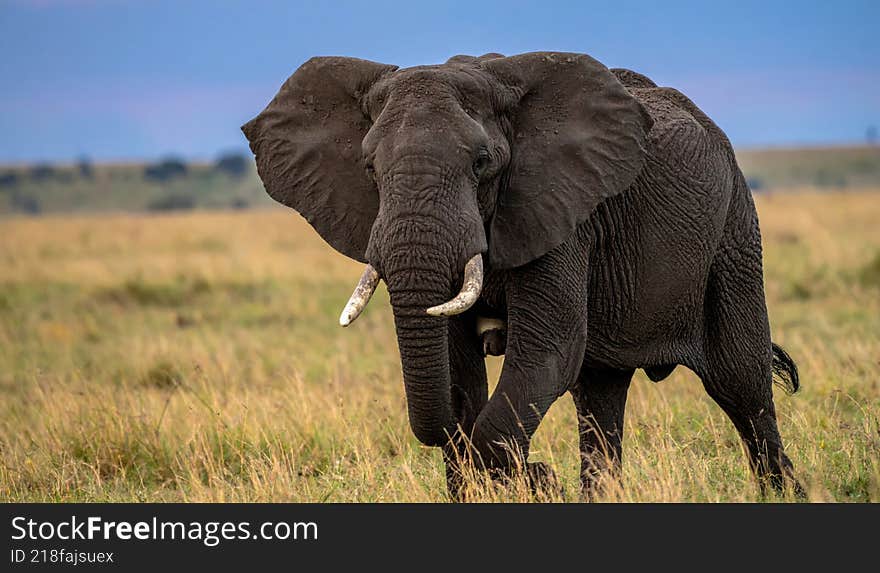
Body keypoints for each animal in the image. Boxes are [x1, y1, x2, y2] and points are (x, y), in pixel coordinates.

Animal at [242, 51, 804, 499]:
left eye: (482, 163)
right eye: (368, 169)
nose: (540, 469)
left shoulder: (560, 213)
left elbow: (546, 351)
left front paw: (535, 478)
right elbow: (458, 365)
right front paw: (511, 478)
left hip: (734, 230)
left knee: (741, 383)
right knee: (599, 393)